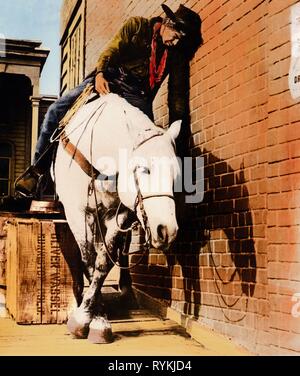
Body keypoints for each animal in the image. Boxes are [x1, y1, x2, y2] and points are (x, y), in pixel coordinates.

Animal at [53, 92, 180, 342]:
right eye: (144, 169)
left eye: (176, 173)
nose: (166, 231)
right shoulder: (78, 213)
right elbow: (88, 261)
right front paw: (87, 316)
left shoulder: (119, 214)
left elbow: (103, 262)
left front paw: (95, 319)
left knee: (121, 250)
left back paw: (126, 288)